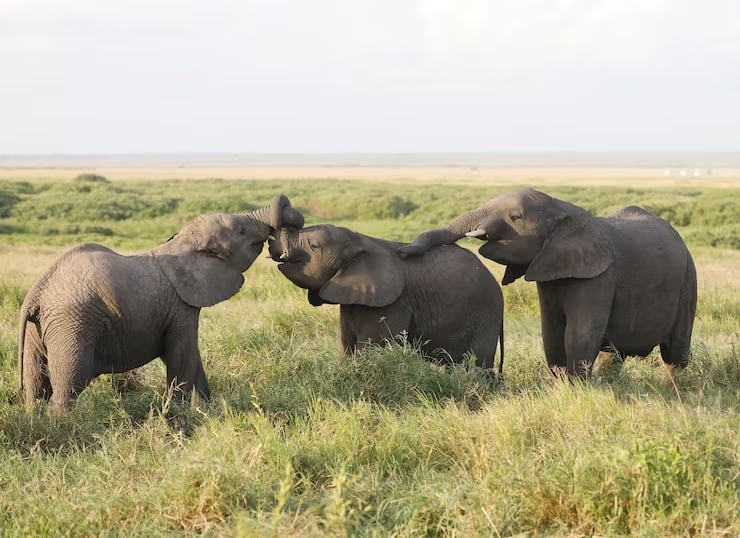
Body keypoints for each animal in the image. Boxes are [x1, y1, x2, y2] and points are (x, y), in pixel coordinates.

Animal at [18, 195, 303, 411]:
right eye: (241, 231)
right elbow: (182, 357)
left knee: (36, 387)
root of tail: (36, 294)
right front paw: (181, 417)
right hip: (72, 325)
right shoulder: (181, 308)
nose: (279, 242)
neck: (181, 244)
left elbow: (191, 358)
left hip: (40, 330)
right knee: (67, 386)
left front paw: (208, 412)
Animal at [267, 221, 504, 372]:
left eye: (314, 246)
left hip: (485, 314)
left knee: (478, 363)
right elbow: (346, 347)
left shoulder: (393, 303)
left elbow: (371, 349)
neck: (359, 240)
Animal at [399, 188, 697, 377]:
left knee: (676, 354)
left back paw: (673, 391)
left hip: (688, 280)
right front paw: (561, 386)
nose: (403, 251)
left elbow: (579, 334)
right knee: (614, 354)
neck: (561, 209)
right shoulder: (549, 271)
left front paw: (577, 391)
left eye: (515, 217)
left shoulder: (600, 276)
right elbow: (551, 333)